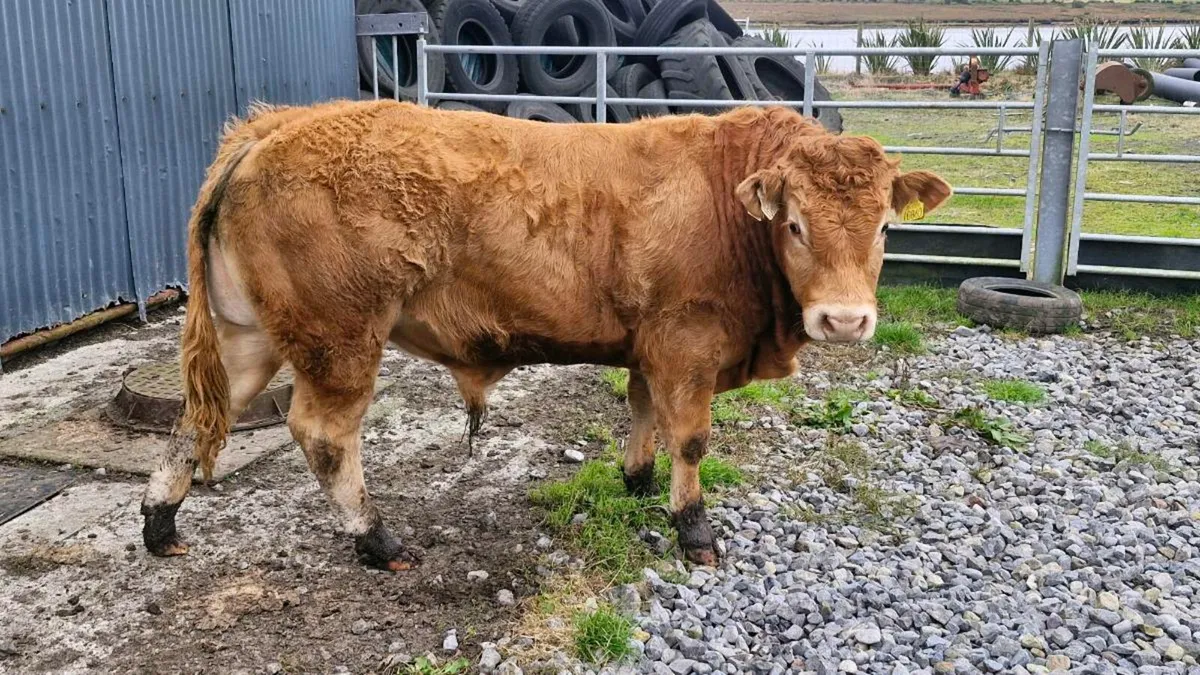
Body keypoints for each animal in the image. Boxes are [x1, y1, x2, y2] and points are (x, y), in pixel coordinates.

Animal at [141, 100, 951, 569]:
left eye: (885, 227)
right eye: (795, 224)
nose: (844, 320)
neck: (725, 200)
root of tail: (272, 126)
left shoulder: (650, 345)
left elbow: (642, 410)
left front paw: (636, 480)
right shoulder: (687, 343)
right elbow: (691, 438)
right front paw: (693, 529)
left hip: (251, 336)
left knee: (196, 420)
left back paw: (159, 524)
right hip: (339, 340)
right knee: (324, 435)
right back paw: (378, 539)